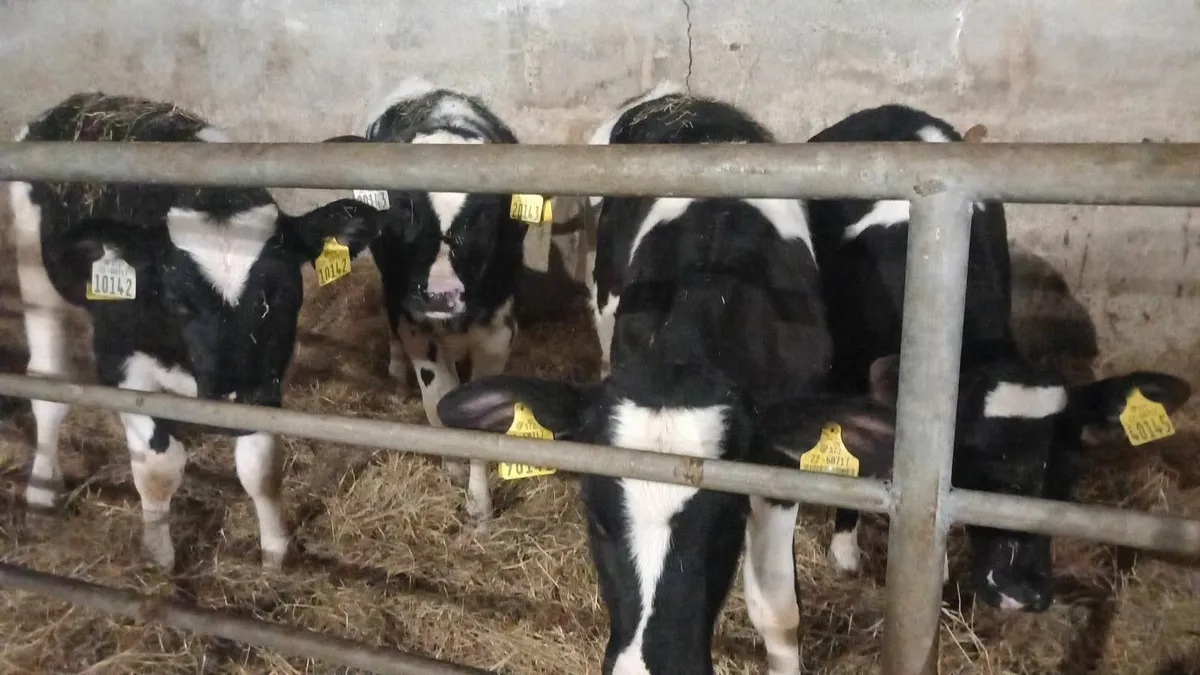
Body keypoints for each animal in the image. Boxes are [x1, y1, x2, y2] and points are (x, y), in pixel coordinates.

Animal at [9, 92, 385, 570]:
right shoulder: (119, 361)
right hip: (35, 270)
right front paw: (159, 558)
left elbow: (260, 465)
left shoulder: (267, 376)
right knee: (48, 383)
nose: (233, 396)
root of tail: (83, 101)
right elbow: (158, 467)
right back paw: (42, 489)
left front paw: (275, 552)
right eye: (177, 299)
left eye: (280, 293)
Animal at [324, 77, 529, 522]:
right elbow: (437, 399)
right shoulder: (417, 325)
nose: (439, 294)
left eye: (484, 216)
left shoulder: (498, 333)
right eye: (404, 208)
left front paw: (479, 504)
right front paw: (453, 466)